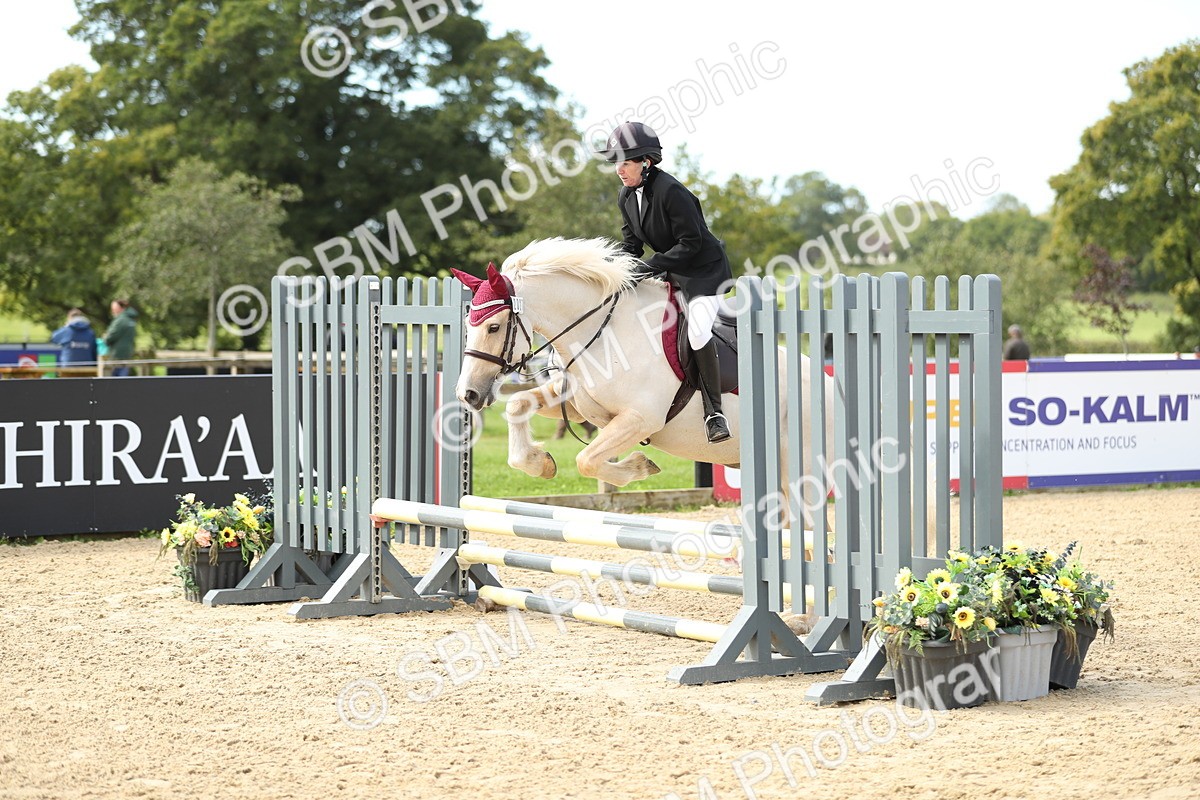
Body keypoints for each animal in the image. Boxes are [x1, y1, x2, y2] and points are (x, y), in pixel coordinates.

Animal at [451, 237, 831, 510]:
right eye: (468, 326)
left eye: (494, 327)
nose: (467, 394)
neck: (605, 331)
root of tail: (830, 386)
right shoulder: (576, 404)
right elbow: (518, 407)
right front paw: (540, 463)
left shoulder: (640, 419)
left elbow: (587, 459)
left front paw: (639, 466)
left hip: (801, 472)